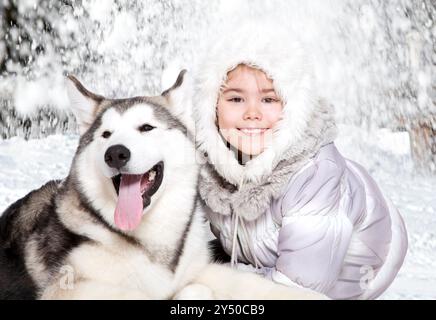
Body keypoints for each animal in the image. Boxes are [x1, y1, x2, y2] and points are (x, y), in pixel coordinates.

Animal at [0, 70, 324, 300]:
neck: (150, 244)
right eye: (106, 134)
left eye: (146, 128)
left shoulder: (199, 268)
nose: (115, 153)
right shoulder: (68, 290)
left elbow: (250, 283)